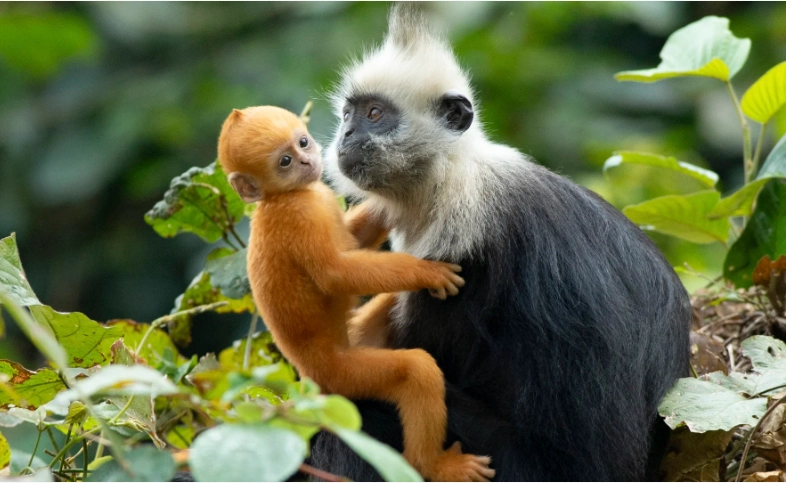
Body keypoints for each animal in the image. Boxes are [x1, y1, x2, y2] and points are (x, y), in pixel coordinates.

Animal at [216, 105, 496, 482]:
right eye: (285, 162)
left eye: (302, 143)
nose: (307, 161)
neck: (281, 196)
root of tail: (311, 380)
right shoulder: (299, 215)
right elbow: (336, 274)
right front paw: (427, 271)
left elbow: (353, 239)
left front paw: (391, 203)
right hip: (345, 376)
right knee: (415, 371)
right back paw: (433, 465)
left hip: (359, 341)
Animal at [309, 5, 692, 481]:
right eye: (348, 114)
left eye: (375, 114)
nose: (344, 136)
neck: (449, 172)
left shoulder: (459, 249)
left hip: (517, 463)